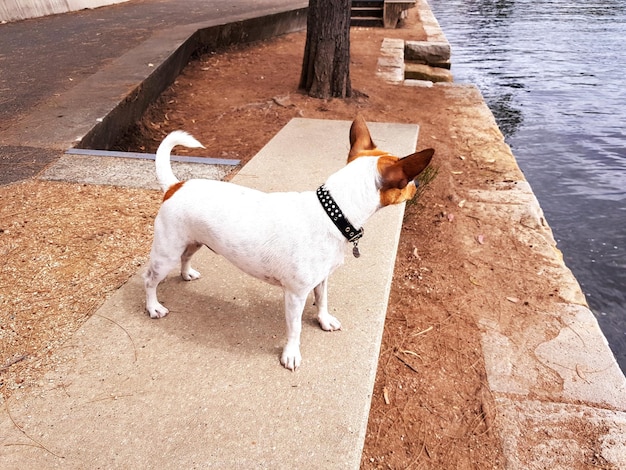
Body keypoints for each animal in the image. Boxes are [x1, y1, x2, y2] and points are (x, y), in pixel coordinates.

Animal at [143, 115, 432, 370]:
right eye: (408, 180)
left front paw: (324, 320)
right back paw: (153, 307)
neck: (333, 212)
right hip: (166, 254)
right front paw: (291, 353)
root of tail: (175, 186)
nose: (417, 184)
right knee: (150, 280)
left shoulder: (322, 280)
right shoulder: (295, 294)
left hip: (192, 242)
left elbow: (323, 301)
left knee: (186, 257)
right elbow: (295, 328)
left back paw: (186, 274)